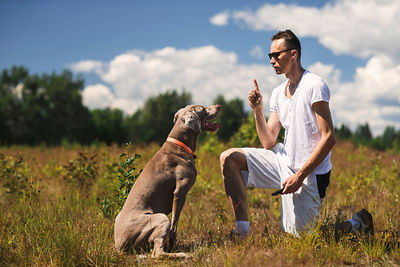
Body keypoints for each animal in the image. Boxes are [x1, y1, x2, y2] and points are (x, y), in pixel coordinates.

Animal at [114, 105, 222, 260]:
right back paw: (183, 254)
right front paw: (173, 244)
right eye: (202, 108)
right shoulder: (180, 192)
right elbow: (174, 225)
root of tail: (119, 245)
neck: (179, 145)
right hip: (160, 217)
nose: (219, 106)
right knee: (157, 254)